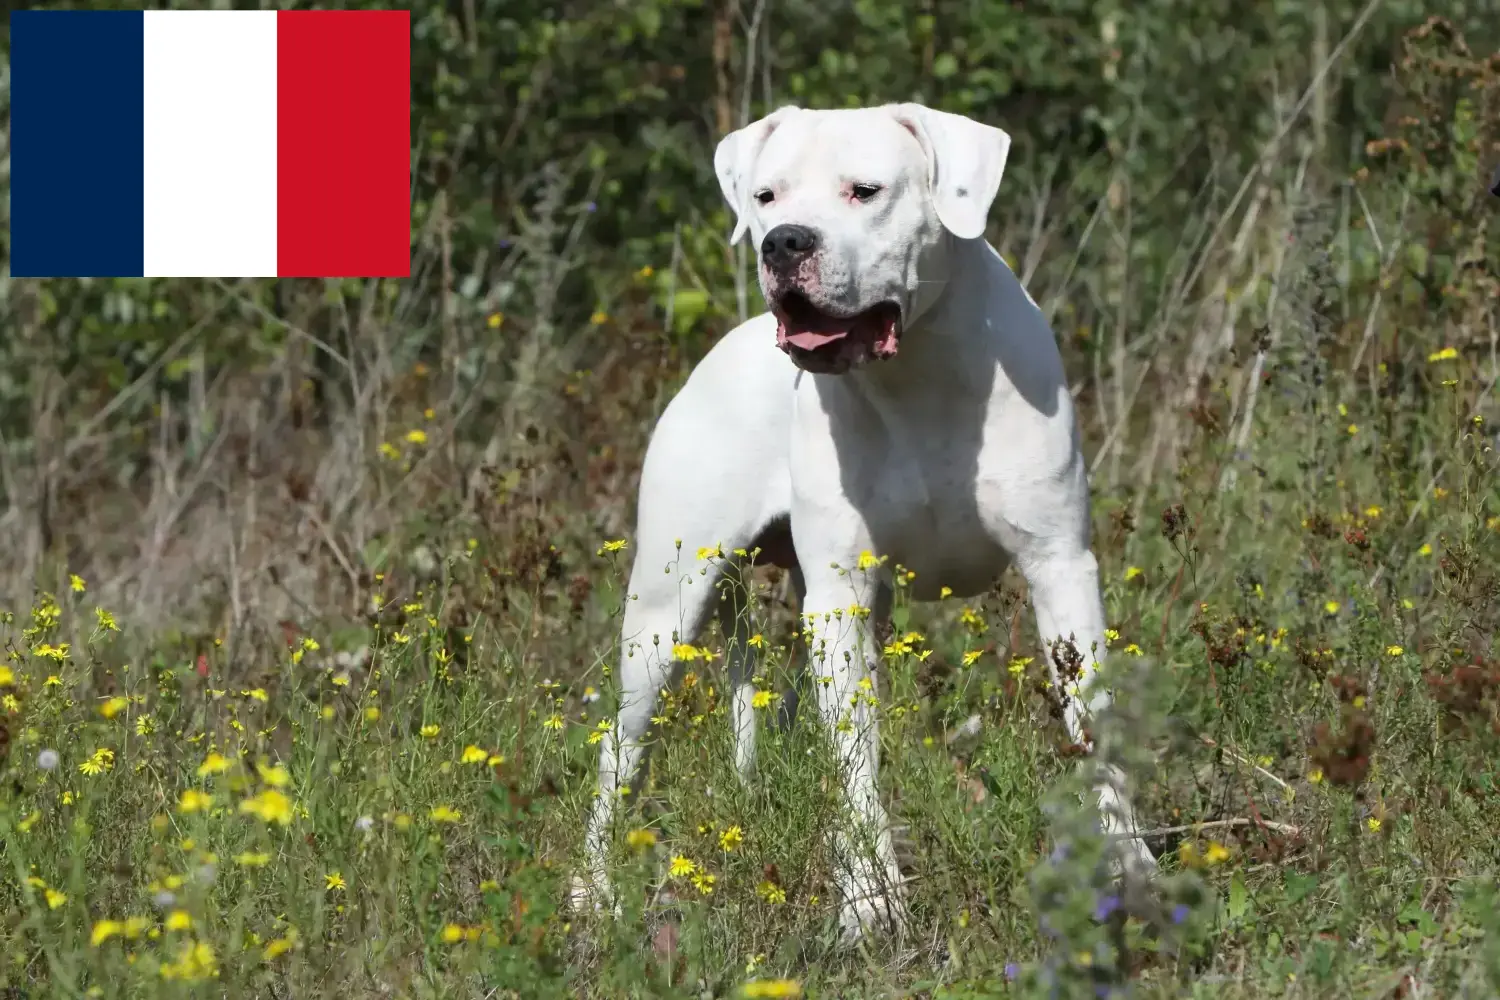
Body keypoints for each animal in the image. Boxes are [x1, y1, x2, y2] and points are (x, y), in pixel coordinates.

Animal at [573, 99, 1158, 941]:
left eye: (865, 191)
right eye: (766, 197)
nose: (785, 242)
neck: (918, 373)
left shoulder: (1061, 571)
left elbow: (1093, 725)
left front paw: (1129, 871)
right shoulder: (840, 599)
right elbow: (856, 760)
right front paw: (871, 900)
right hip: (663, 613)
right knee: (621, 751)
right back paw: (593, 891)